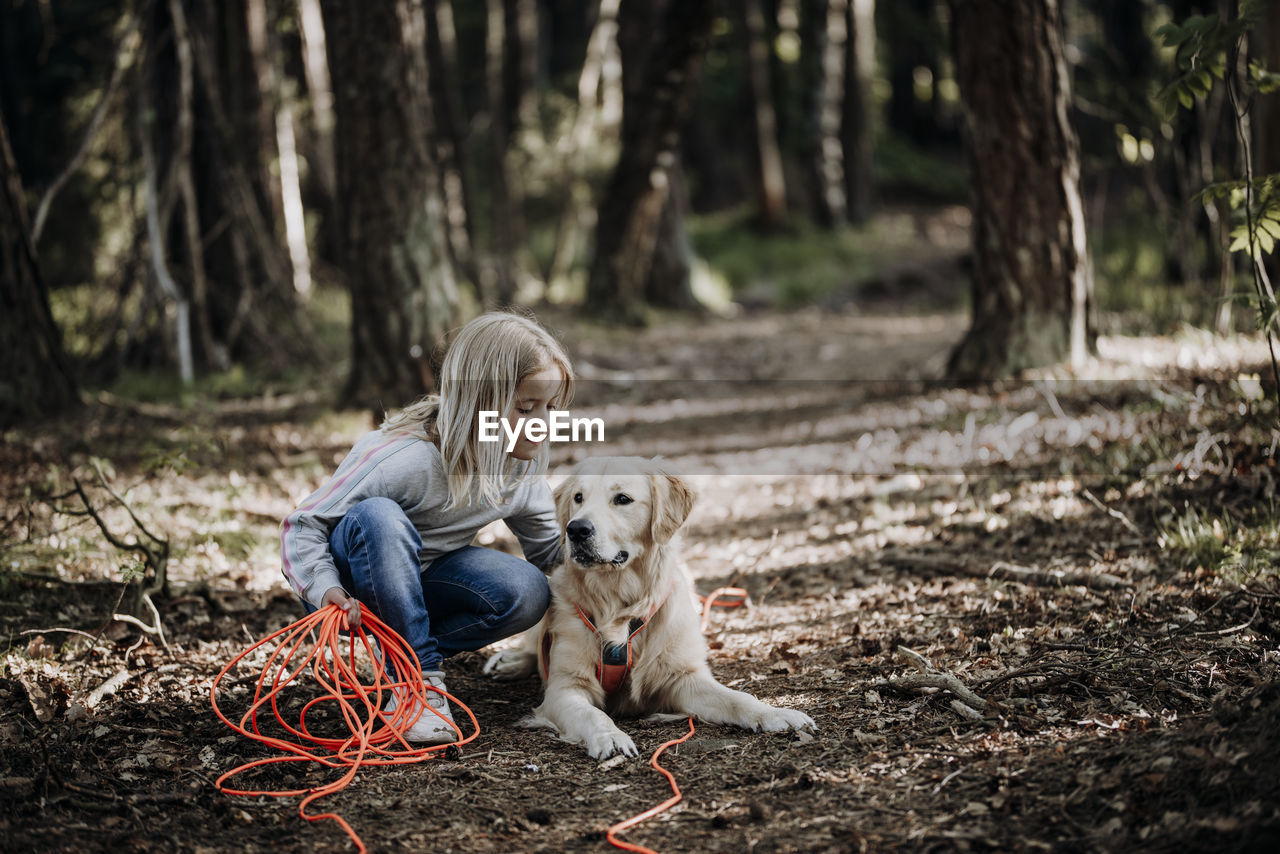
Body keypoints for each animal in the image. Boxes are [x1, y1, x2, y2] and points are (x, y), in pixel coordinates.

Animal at [483, 458, 814, 757]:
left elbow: (737, 698)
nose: (575, 530)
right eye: (578, 497)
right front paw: (610, 737)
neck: (619, 603)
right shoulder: (565, 687)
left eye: (622, 499)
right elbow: (594, 714)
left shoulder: (683, 677)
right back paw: (510, 662)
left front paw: (776, 714)